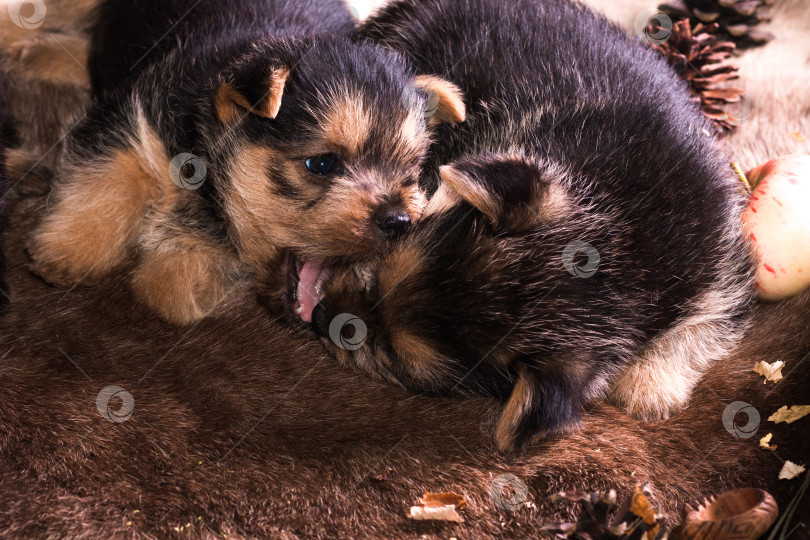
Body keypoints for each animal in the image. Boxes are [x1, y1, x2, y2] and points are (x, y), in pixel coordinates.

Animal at [22, 0, 464, 322]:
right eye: (322, 164)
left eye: (411, 173)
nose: (399, 221)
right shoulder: (132, 112)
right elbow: (110, 169)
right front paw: (68, 250)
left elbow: (172, 286)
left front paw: (182, 248)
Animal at [302, 0, 752, 454]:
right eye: (377, 272)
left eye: (394, 357)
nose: (320, 317)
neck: (623, 237)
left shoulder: (723, 268)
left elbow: (703, 325)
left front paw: (648, 385)